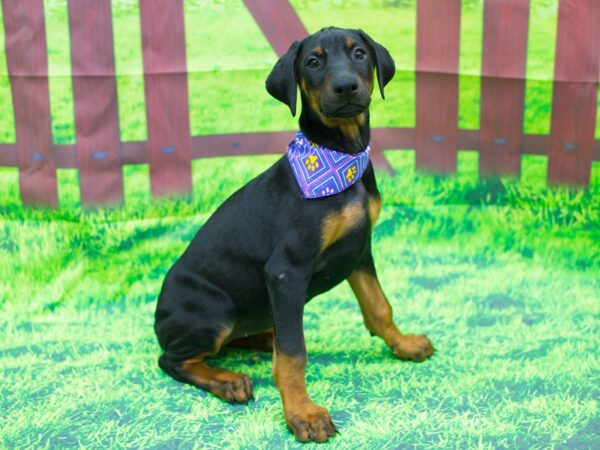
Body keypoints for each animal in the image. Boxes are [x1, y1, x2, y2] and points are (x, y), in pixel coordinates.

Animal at [155, 26, 434, 442]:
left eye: (359, 53)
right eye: (313, 62)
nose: (346, 86)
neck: (339, 157)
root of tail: (158, 318)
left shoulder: (359, 250)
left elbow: (379, 307)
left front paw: (404, 344)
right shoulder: (287, 272)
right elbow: (293, 354)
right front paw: (302, 413)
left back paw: (262, 339)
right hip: (213, 312)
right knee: (173, 360)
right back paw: (227, 380)